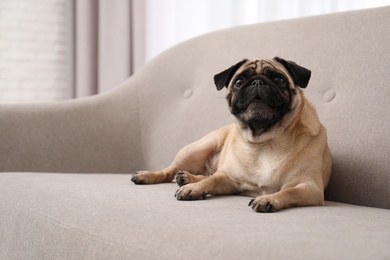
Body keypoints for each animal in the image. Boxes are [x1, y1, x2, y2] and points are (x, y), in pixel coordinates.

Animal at [132, 56, 332, 211]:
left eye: (279, 80)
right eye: (238, 82)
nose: (257, 81)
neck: (266, 140)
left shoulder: (309, 187)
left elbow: (289, 191)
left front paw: (268, 199)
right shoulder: (229, 179)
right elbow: (210, 181)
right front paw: (193, 189)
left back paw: (186, 178)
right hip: (197, 149)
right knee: (170, 171)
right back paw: (151, 176)